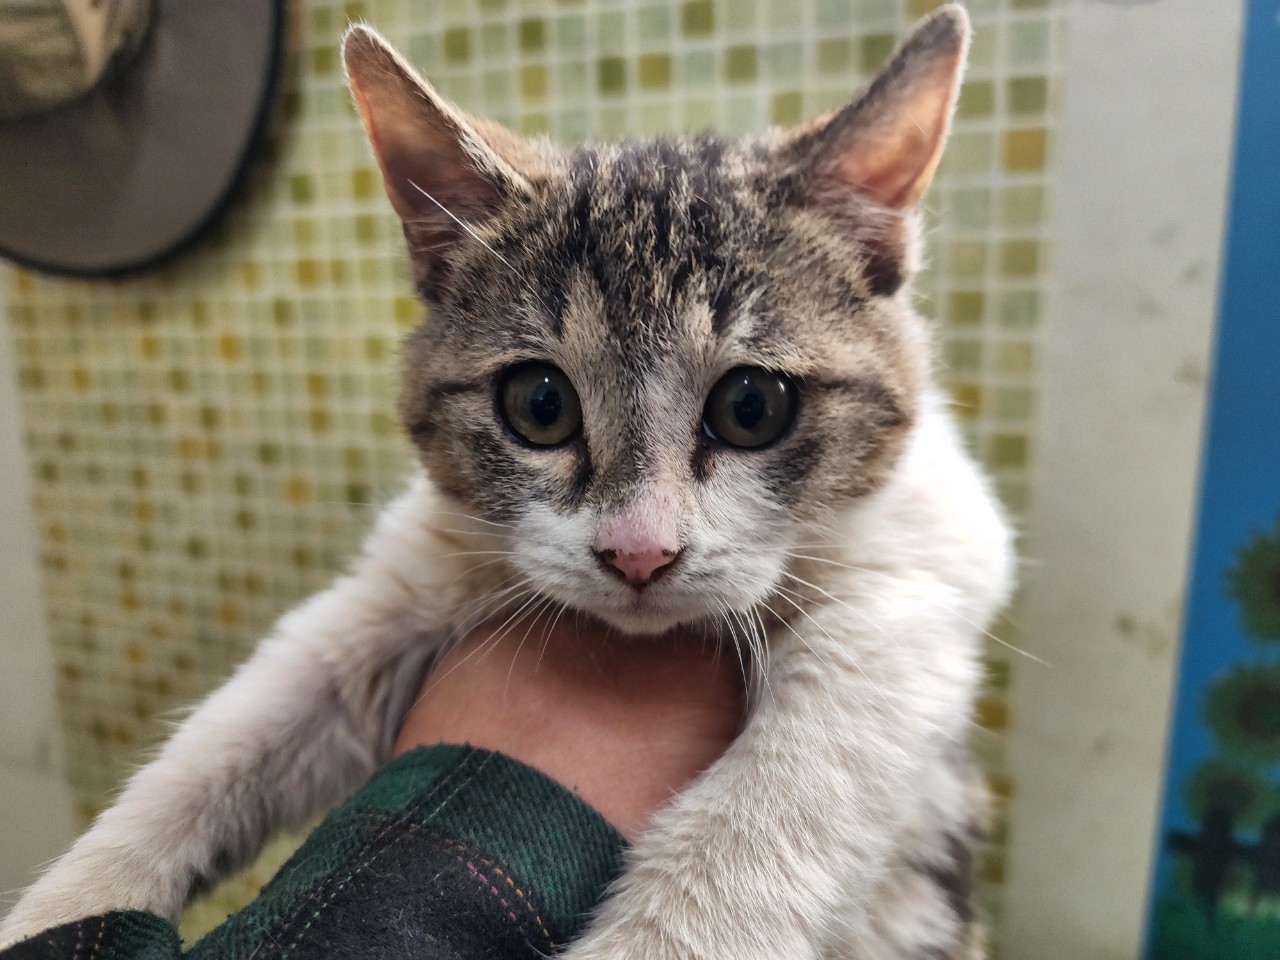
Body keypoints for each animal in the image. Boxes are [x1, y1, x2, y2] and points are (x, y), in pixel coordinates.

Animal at [5, 7, 1013, 960]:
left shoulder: (922, 569)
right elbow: (248, 721)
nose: (639, 552)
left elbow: (789, 787)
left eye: (752, 406)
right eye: (539, 403)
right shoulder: (418, 568)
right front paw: (70, 904)